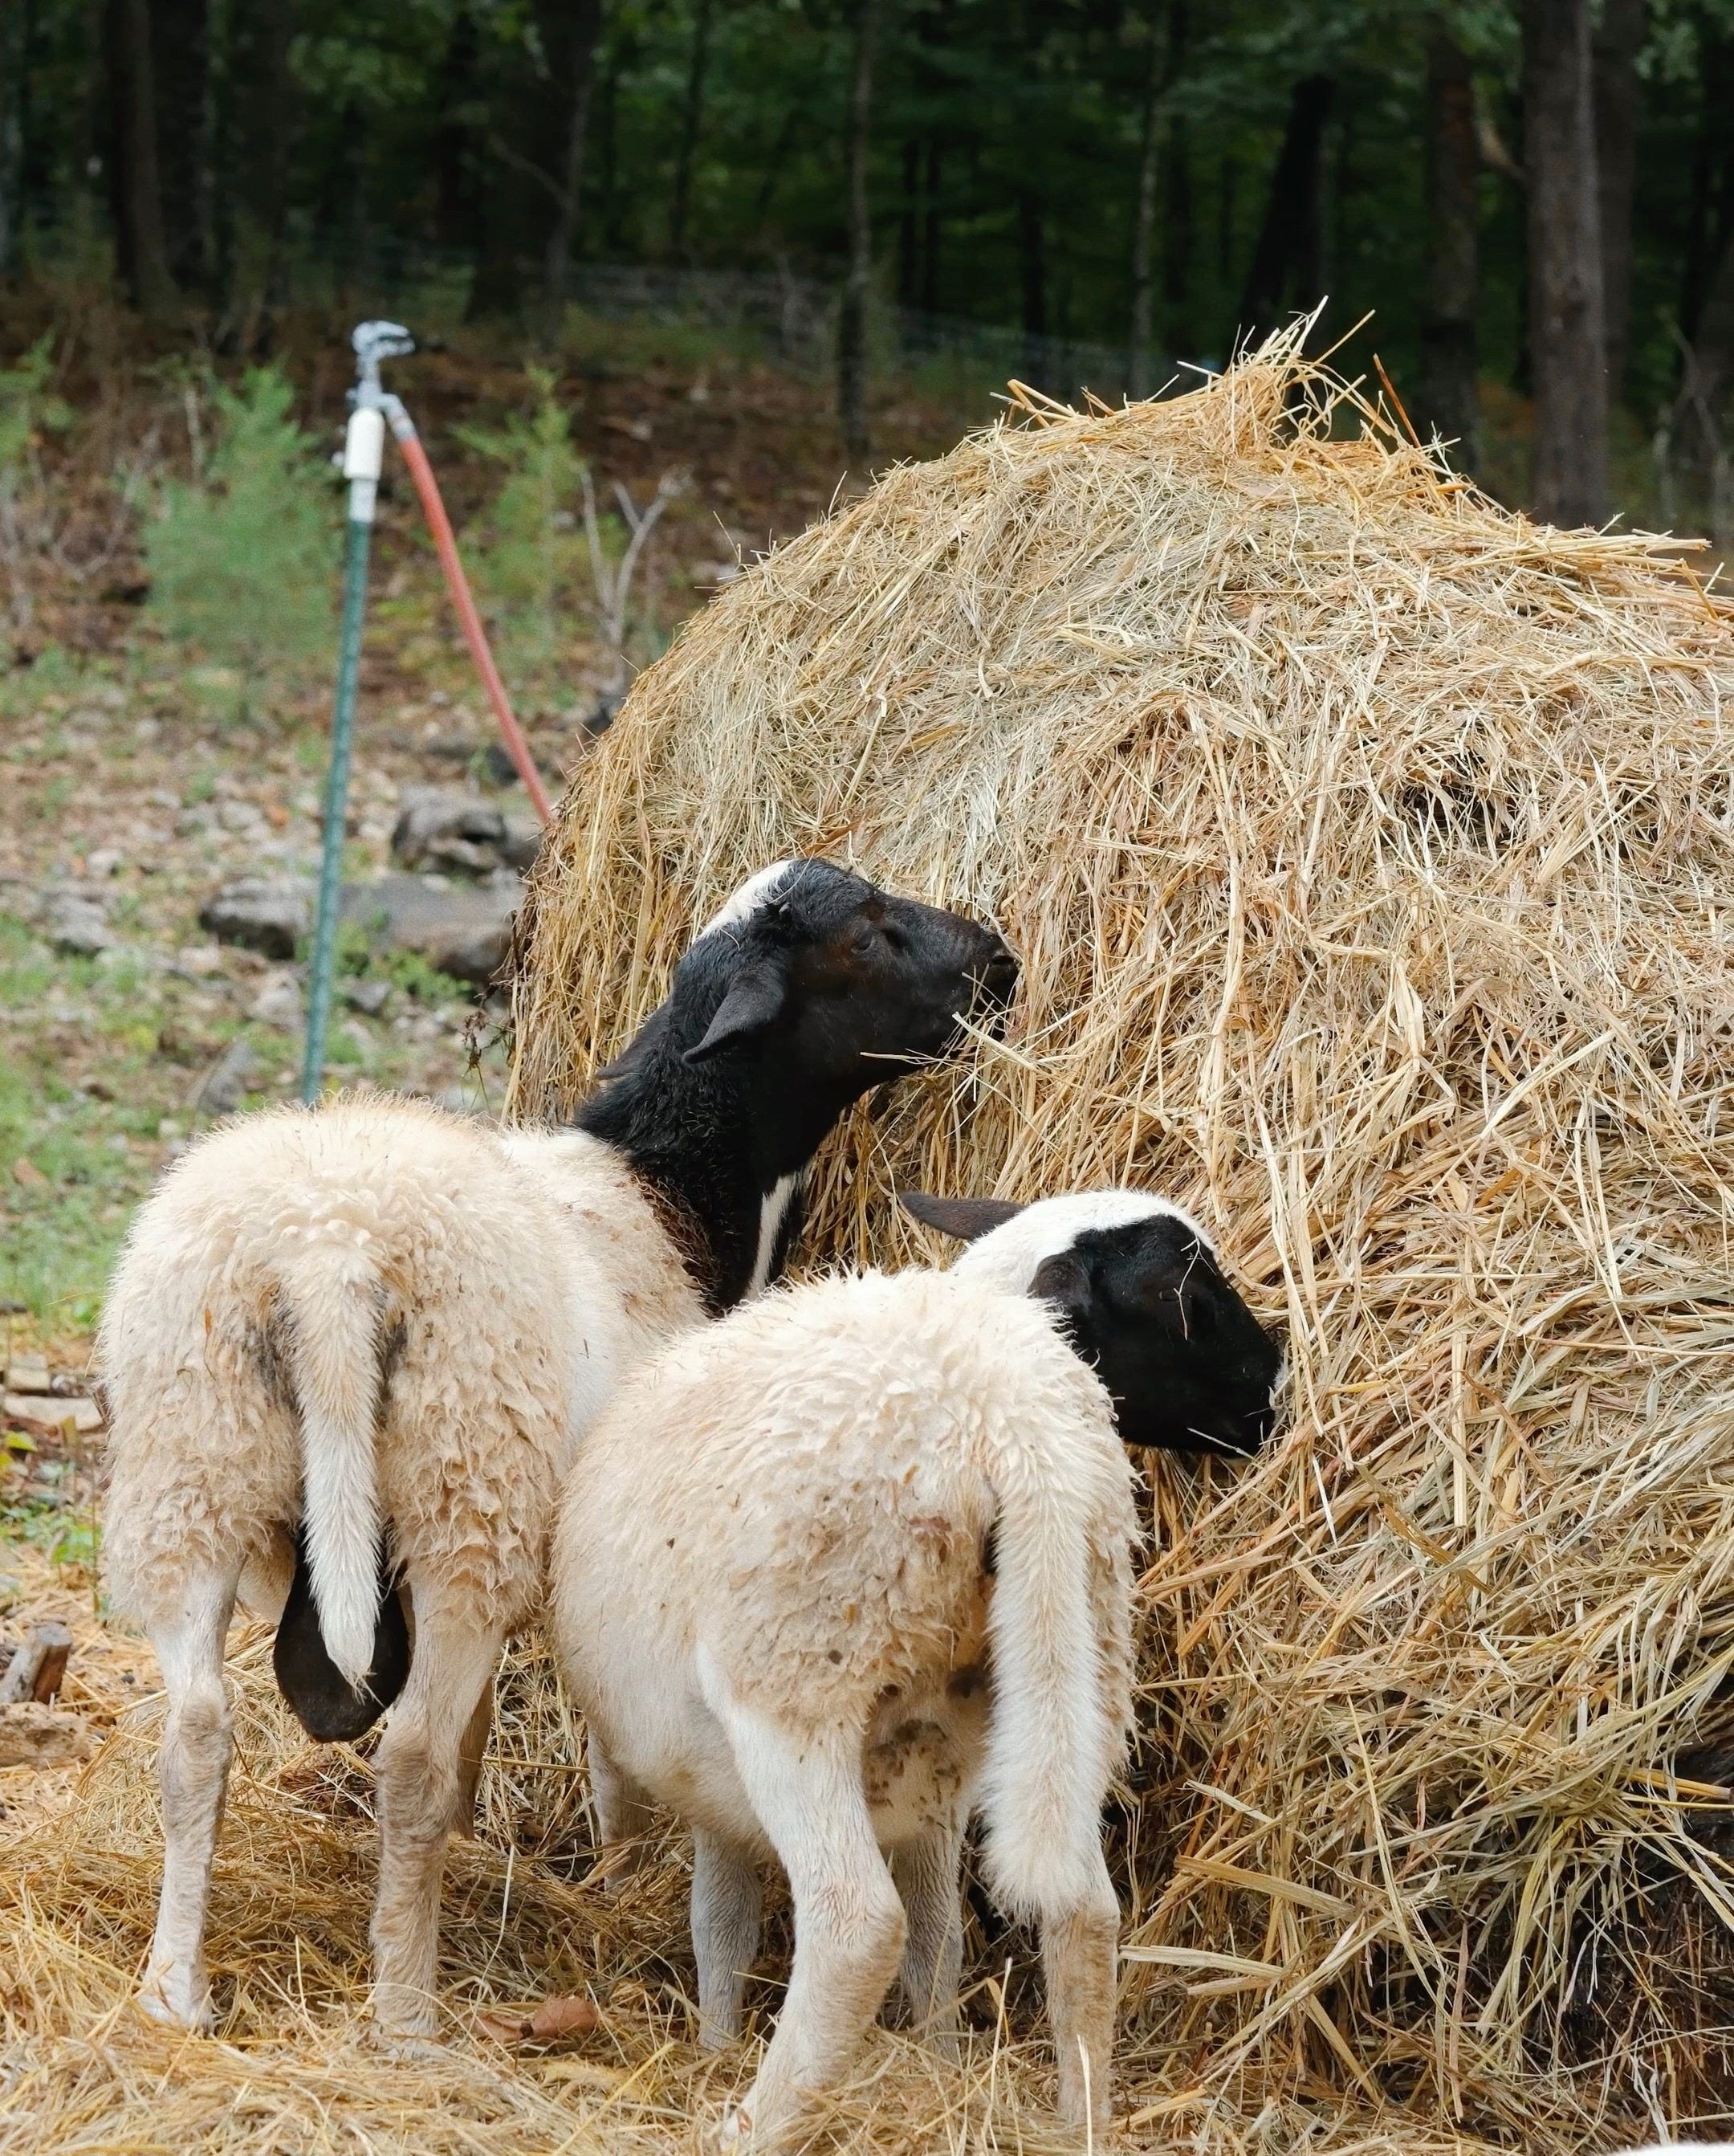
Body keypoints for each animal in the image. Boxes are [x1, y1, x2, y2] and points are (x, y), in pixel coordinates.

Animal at [99, 859, 1015, 2042]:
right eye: (867, 931)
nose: (1002, 963)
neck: (671, 1188)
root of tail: (326, 1255)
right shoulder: (616, 1534)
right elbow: (601, 1733)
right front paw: (618, 1864)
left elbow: (480, 1718)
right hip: (465, 1490)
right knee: (405, 1755)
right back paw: (406, 2007)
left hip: (194, 1469)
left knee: (196, 1739)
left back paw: (177, 1987)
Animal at [550, 1187, 1280, 2146]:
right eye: (1177, 1295)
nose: (1274, 1386)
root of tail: (1008, 1415)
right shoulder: (920, 1785)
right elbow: (930, 1936)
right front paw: (939, 2064)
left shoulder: (708, 1776)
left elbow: (721, 1921)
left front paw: (714, 2048)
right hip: (1065, 1667)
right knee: (1081, 1908)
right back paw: (1079, 2121)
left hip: (797, 1684)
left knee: (856, 1926)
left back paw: (754, 2123)